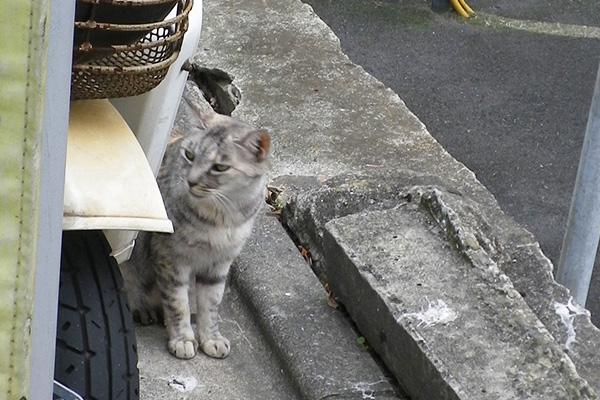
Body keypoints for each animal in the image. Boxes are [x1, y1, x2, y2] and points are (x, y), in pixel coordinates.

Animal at [121, 104, 270, 360]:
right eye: (189, 155)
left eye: (220, 167)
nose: (191, 181)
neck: (220, 217)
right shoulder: (170, 257)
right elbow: (177, 302)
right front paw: (182, 339)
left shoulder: (219, 263)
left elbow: (211, 304)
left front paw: (211, 338)